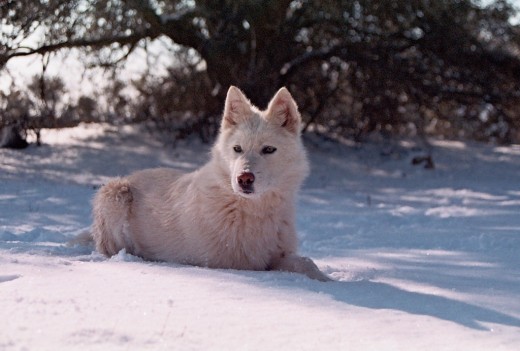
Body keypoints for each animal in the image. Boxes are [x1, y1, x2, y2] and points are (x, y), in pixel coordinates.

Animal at [92, 86, 330, 282]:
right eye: (237, 149)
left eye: (269, 150)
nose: (244, 178)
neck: (252, 209)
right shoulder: (237, 263)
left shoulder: (278, 256)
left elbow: (308, 263)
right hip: (116, 194)